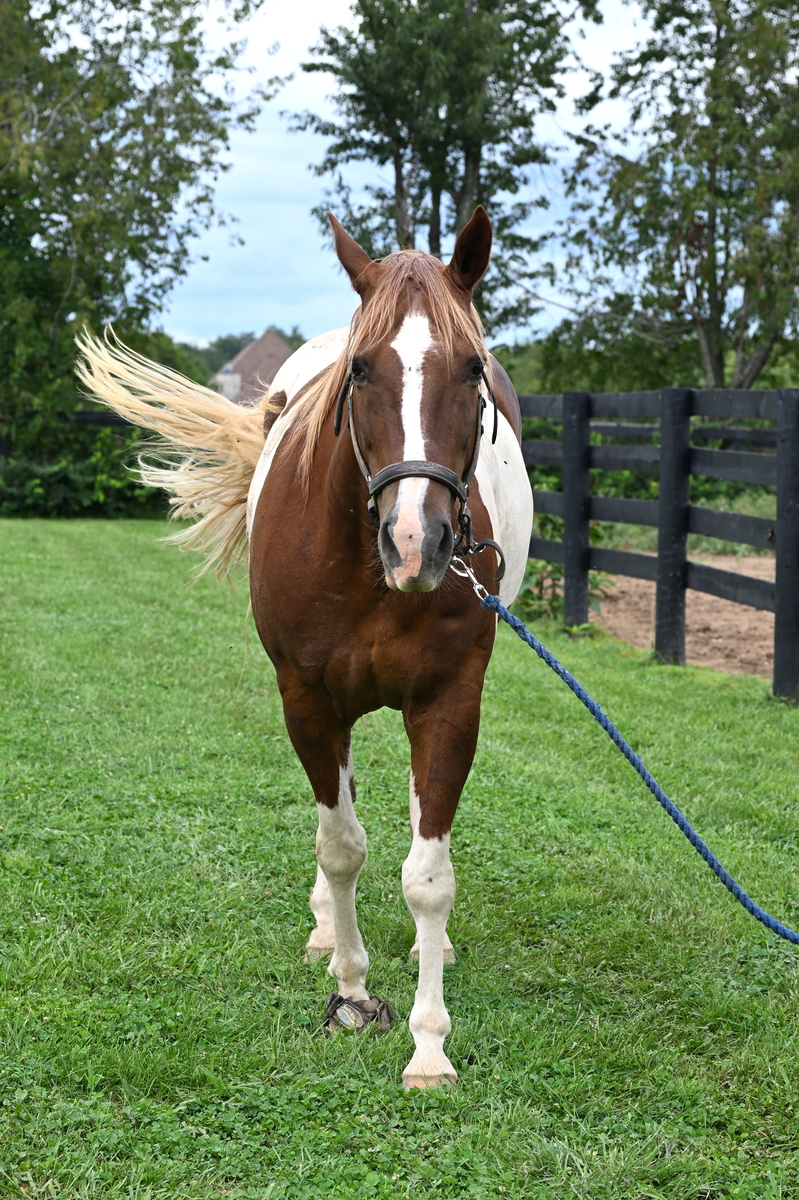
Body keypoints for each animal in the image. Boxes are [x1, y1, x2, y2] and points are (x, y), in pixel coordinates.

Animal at [76, 205, 534, 1089]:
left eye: (472, 369)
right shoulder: (308, 701)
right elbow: (342, 847)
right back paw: (329, 931)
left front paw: (428, 1042)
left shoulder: (449, 702)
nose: (417, 543)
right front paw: (352, 991)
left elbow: (428, 877)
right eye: (360, 370)